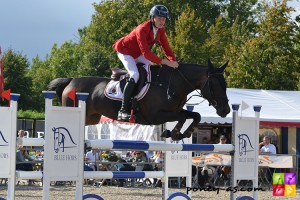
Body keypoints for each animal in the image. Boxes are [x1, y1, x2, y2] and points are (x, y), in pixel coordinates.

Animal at [47, 59, 230, 141]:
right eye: (215, 85)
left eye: (225, 84)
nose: (225, 110)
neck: (171, 84)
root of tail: (70, 81)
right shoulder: (156, 116)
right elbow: (183, 117)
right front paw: (173, 133)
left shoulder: (174, 111)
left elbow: (195, 116)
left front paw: (181, 134)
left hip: (90, 119)